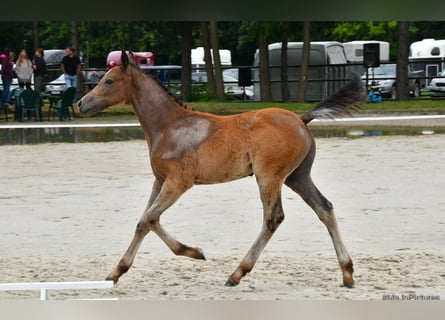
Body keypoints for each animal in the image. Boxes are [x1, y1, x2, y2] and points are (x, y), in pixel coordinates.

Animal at [77, 52, 364, 288]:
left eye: (109, 81)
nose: (81, 104)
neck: (169, 126)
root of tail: (301, 118)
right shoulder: (159, 180)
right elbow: (144, 221)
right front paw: (115, 272)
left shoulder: (178, 182)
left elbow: (149, 218)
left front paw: (195, 252)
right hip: (297, 176)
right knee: (324, 208)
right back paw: (347, 273)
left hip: (269, 177)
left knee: (273, 218)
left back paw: (237, 273)